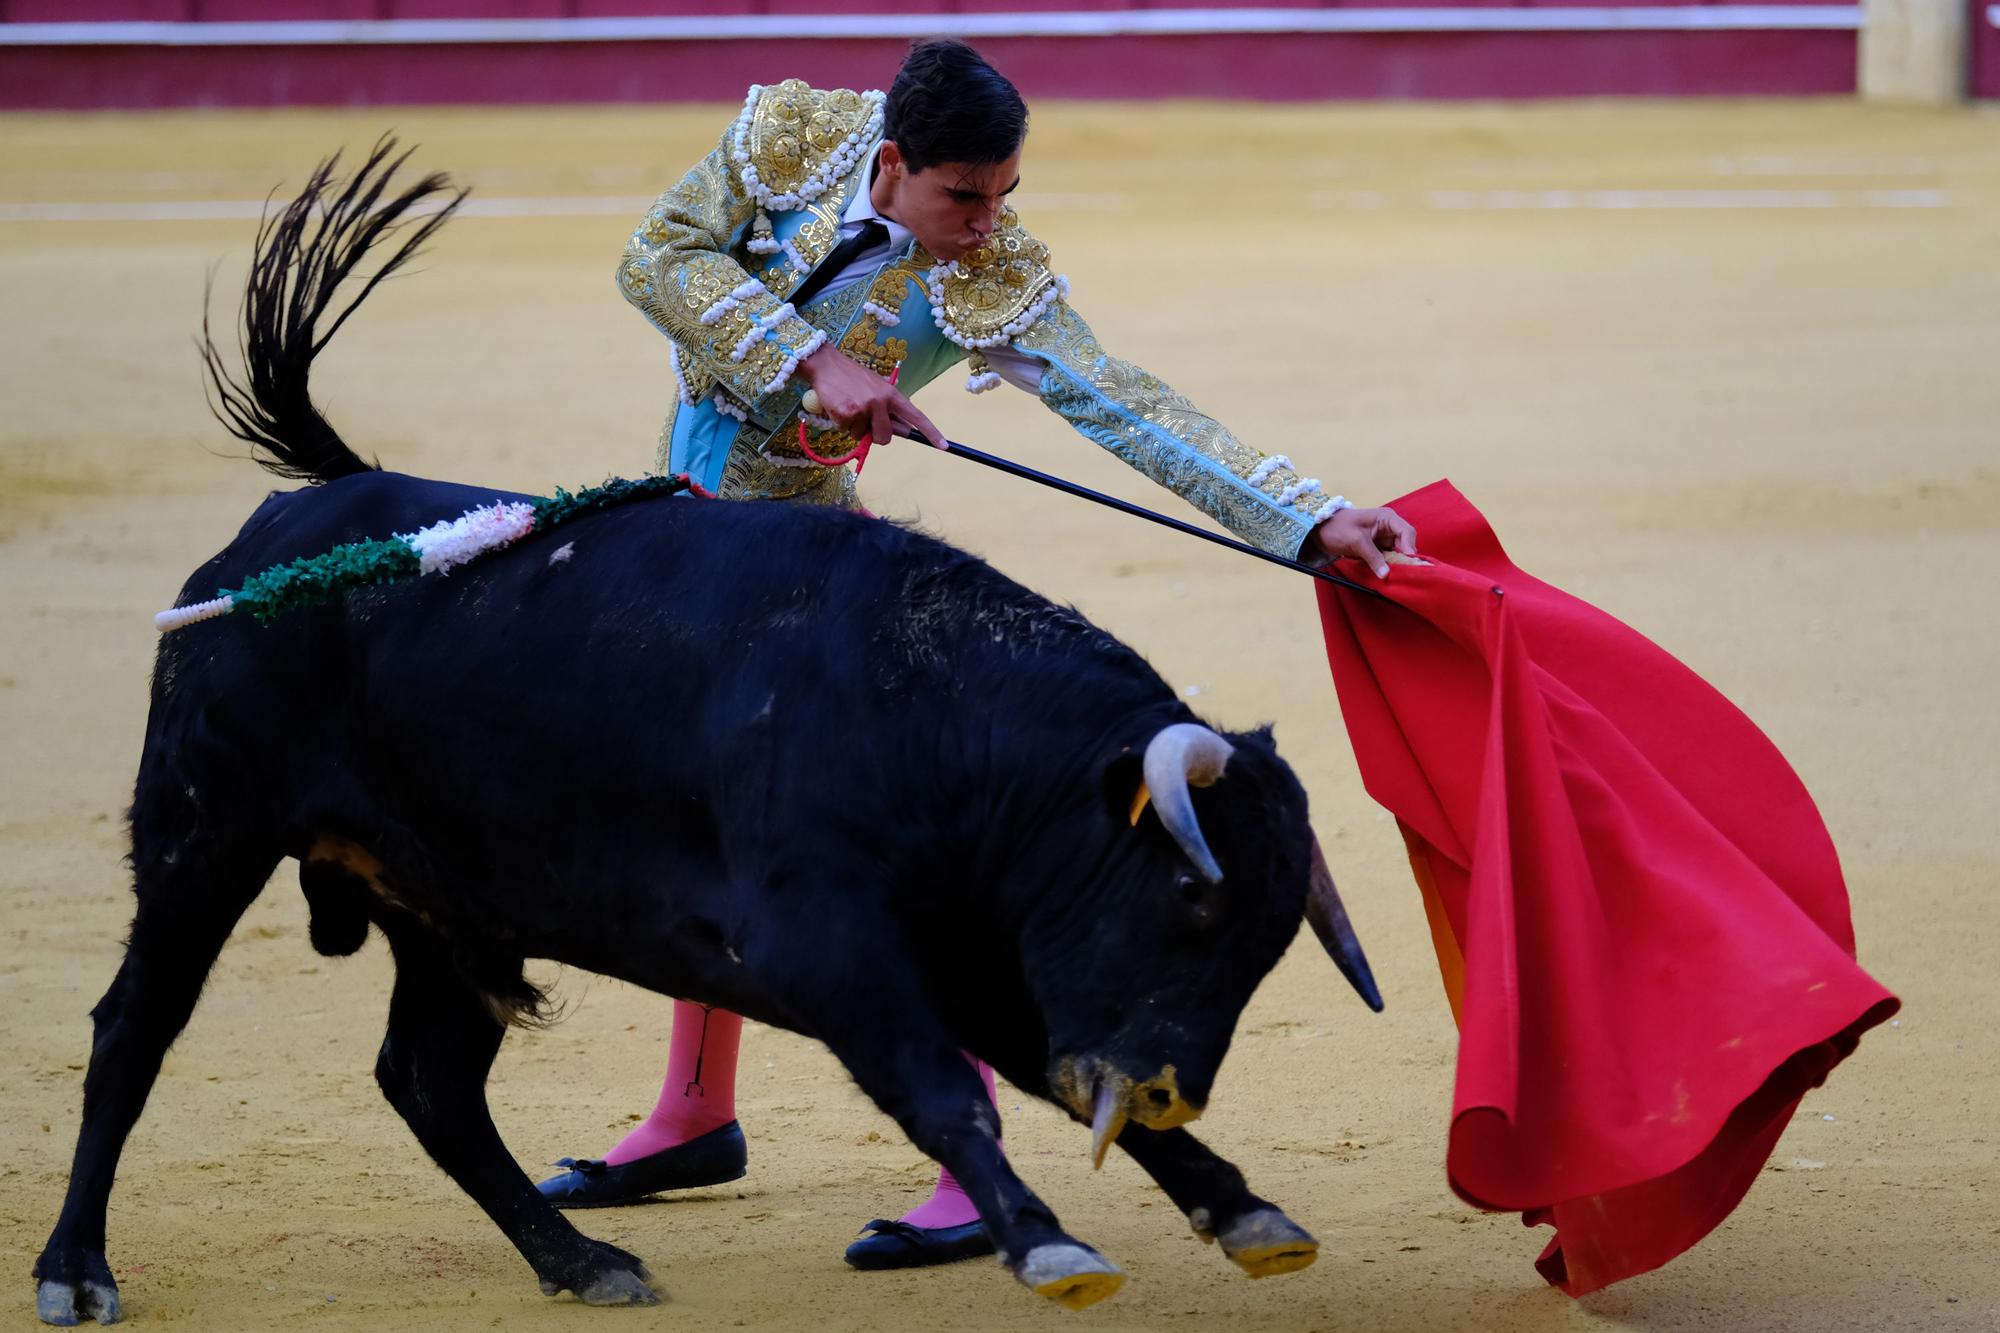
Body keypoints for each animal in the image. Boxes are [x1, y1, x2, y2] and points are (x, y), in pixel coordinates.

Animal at [27, 145, 1376, 1320]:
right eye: (1190, 897)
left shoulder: (967, 948)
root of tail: (288, 527)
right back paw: (75, 1270)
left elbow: (1019, 1064)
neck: (940, 726)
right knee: (132, 1029)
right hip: (203, 834)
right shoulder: (825, 948)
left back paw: (577, 1259)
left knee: (429, 1081)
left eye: (1270, 938)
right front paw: (1047, 1242)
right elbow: (945, 1088)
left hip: (447, 896)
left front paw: (1239, 1209)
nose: (1164, 1095)